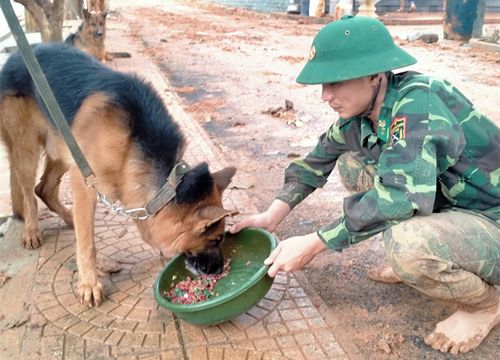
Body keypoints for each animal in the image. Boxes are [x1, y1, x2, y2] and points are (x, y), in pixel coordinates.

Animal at [0, 43, 238, 306]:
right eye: (215, 239)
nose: (219, 270)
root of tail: (14, 56)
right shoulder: (84, 183)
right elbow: (87, 245)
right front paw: (89, 284)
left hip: (63, 148)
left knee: (44, 189)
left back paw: (70, 218)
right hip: (28, 151)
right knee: (29, 193)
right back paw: (32, 230)